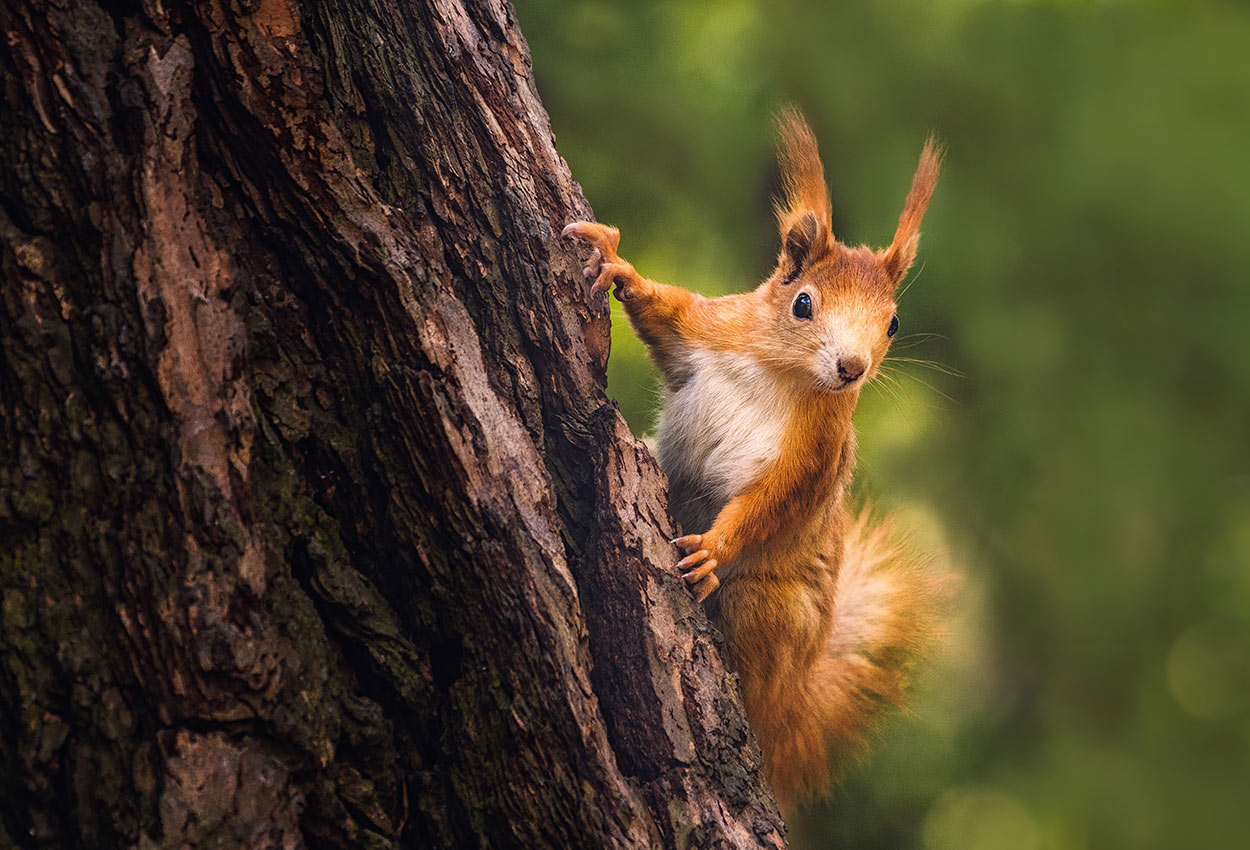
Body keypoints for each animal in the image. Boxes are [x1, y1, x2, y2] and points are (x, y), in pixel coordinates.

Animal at [565, 109, 940, 805]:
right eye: (803, 302)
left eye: (894, 323)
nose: (852, 369)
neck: (783, 374)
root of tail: (791, 702)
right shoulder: (710, 329)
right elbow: (666, 313)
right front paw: (618, 265)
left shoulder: (814, 455)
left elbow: (771, 503)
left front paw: (714, 548)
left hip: (772, 612)